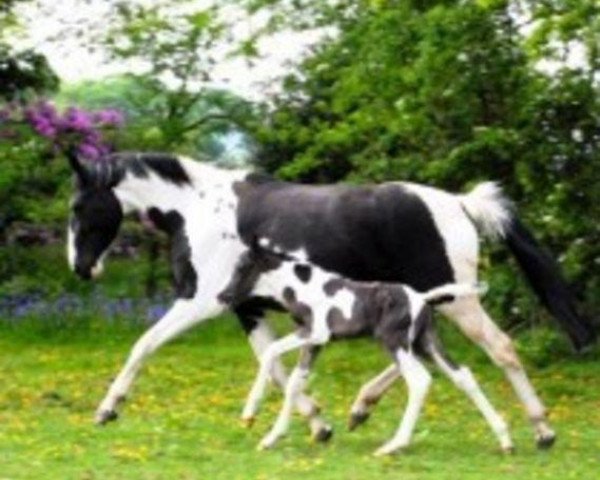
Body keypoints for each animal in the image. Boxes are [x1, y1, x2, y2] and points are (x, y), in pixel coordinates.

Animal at [218, 242, 512, 456]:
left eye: (243, 266)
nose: (223, 296)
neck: (302, 289)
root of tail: (421, 298)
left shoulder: (315, 332)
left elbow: (271, 351)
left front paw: (249, 414)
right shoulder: (316, 343)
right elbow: (294, 383)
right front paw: (271, 438)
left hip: (396, 343)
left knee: (420, 380)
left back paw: (393, 445)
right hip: (426, 344)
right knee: (463, 376)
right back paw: (505, 439)